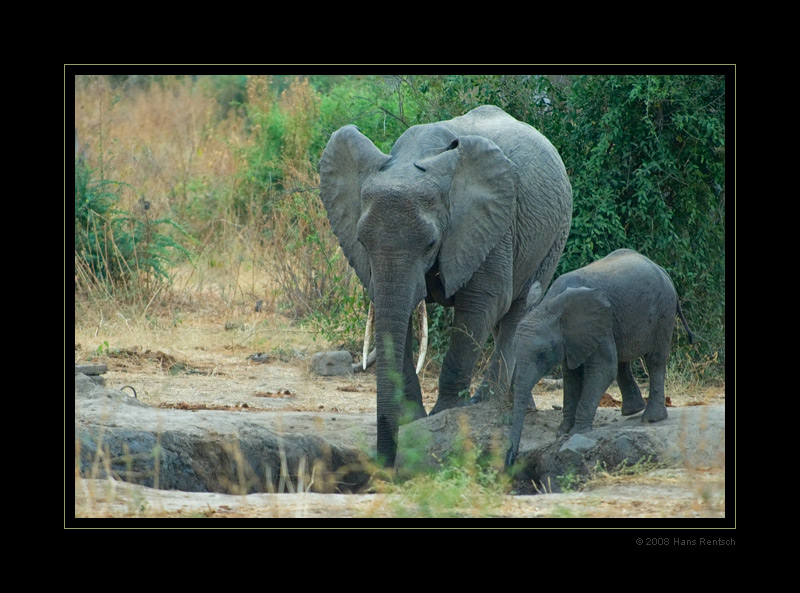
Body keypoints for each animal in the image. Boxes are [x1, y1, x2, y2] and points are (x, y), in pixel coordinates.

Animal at [316, 106, 572, 468]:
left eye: (431, 243)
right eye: (362, 242)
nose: (386, 464)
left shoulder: (491, 221)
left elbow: (483, 303)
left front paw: (447, 414)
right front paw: (413, 420)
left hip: (555, 233)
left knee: (518, 309)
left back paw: (487, 405)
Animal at [506, 247, 692, 464]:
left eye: (542, 354)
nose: (510, 459)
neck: (548, 305)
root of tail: (661, 269)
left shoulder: (596, 324)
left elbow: (602, 369)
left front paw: (577, 432)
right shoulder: (574, 337)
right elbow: (571, 376)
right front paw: (562, 432)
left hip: (663, 312)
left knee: (654, 360)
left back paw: (651, 418)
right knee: (622, 362)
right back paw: (632, 410)